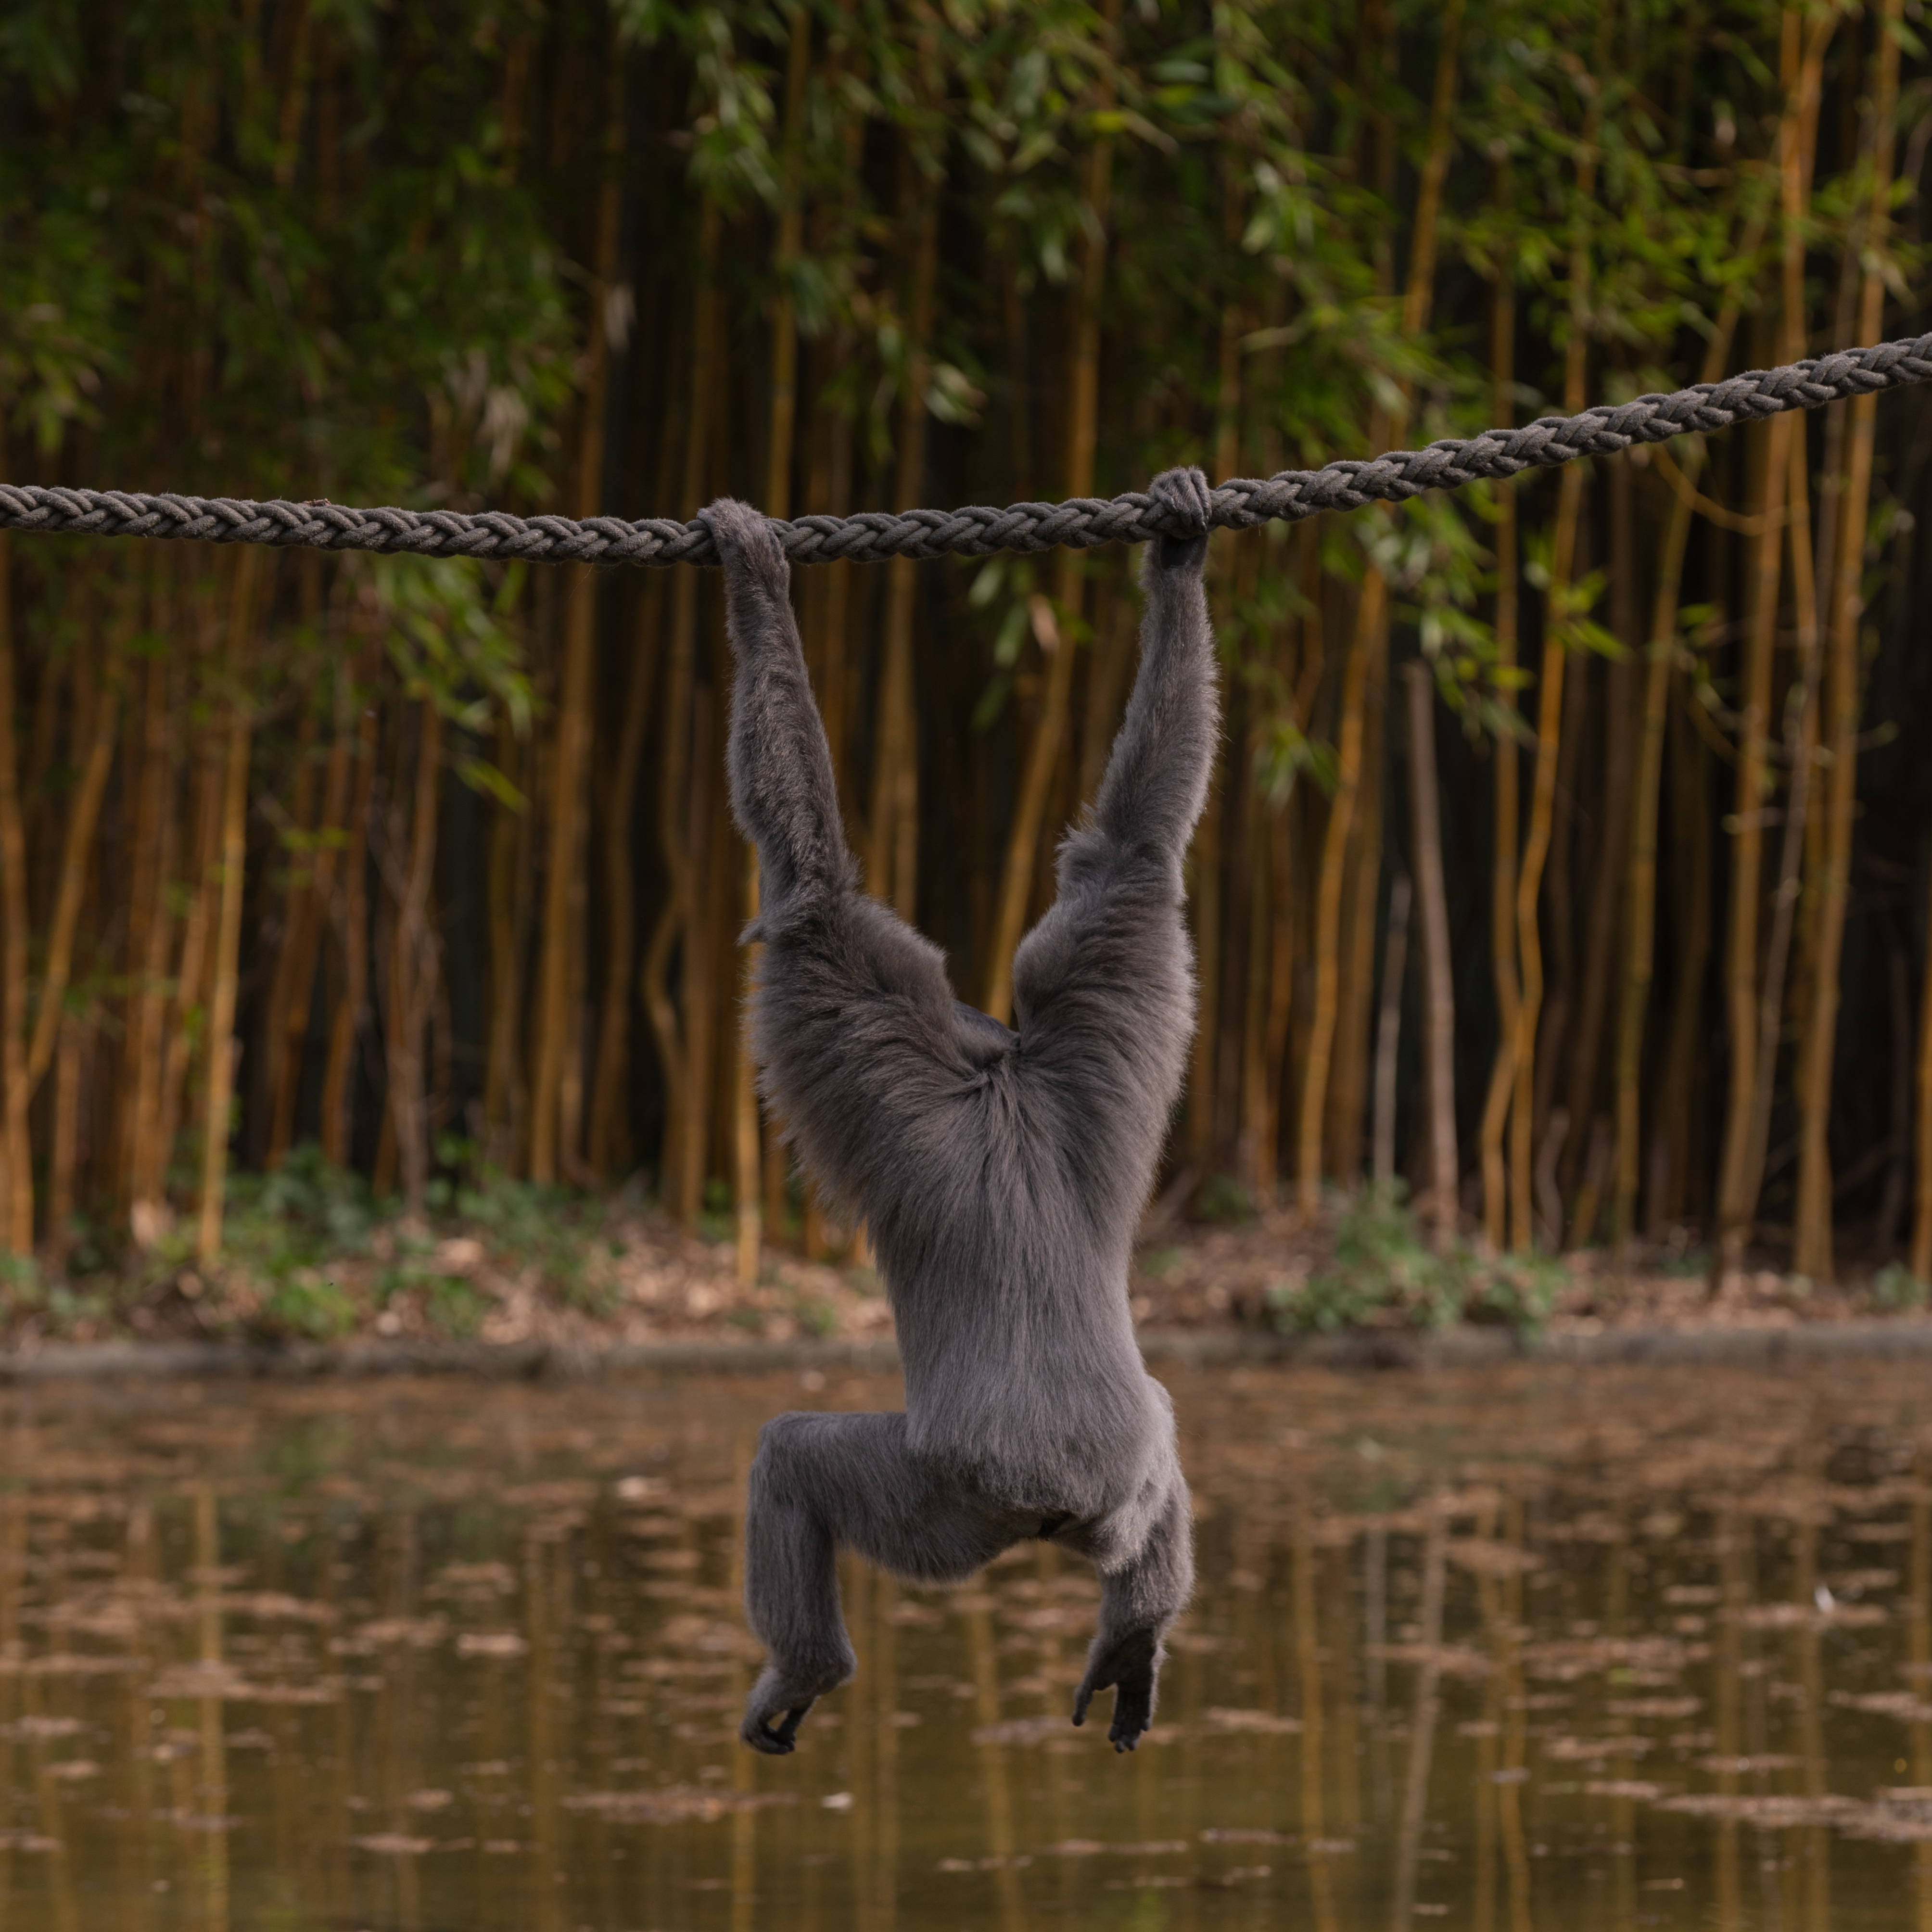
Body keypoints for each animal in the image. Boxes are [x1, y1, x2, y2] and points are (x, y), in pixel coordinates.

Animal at [702, 464, 1217, 1757]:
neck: (994, 1083)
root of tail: (1060, 1496)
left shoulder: (844, 994)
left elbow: (808, 886)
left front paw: (755, 574)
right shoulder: (1107, 995)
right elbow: (1139, 848)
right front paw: (1177, 548)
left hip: (941, 1501)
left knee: (792, 1458)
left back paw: (804, 1668)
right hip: (1115, 1482)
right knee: (1163, 1426)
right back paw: (1135, 1627)